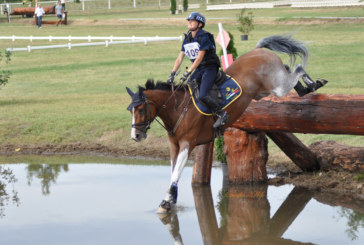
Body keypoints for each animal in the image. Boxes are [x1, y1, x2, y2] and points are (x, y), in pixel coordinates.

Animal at [126, 34, 328, 212]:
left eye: (141, 110)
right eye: (130, 111)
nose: (135, 136)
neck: (178, 108)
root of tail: (258, 51)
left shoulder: (187, 144)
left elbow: (176, 172)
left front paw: (166, 202)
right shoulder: (174, 146)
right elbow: (173, 171)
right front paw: (170, 199)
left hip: (278, 87)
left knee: (298, 68)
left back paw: (313, 83)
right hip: (266, 89)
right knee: (287, 68)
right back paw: (305, 88)